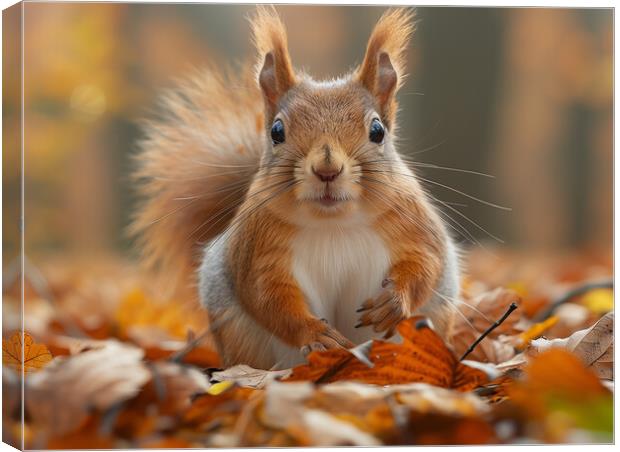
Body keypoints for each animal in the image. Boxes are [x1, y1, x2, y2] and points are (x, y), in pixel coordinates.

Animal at [132, 7, 460, 370]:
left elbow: (426, 262)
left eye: (377, 131)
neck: (334, 223)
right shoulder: (257, 248)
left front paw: (393, 302)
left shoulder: (412, 223)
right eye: (277, 131)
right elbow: (268, 297)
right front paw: (315, 333)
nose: (327, 170)